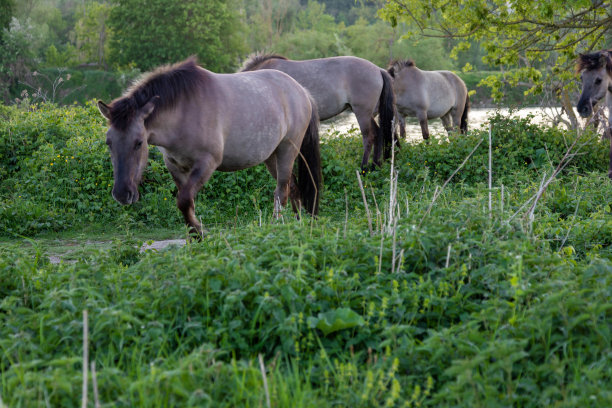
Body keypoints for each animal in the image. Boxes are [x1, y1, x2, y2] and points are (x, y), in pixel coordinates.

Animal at [96, 57, 322, 236]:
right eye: (109, 142)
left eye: (139, 143)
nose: (122, 193)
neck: (183, 110)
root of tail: (301, 90)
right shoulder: (175, 166)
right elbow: (187, 204)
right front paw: (194, 237)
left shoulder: (207, 162)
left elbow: (183, 200)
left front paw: (200, 233)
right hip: (271, 156)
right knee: (293, 188)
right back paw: (297, 226)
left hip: (287, 151)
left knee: (281, 191)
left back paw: (277, 227)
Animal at [241, 53, 394, 169]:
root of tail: (378, 70)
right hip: (370, 114)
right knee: (378, 133)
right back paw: (375, 165)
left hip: (362, 113)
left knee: (369, 137)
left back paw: (364, 168)